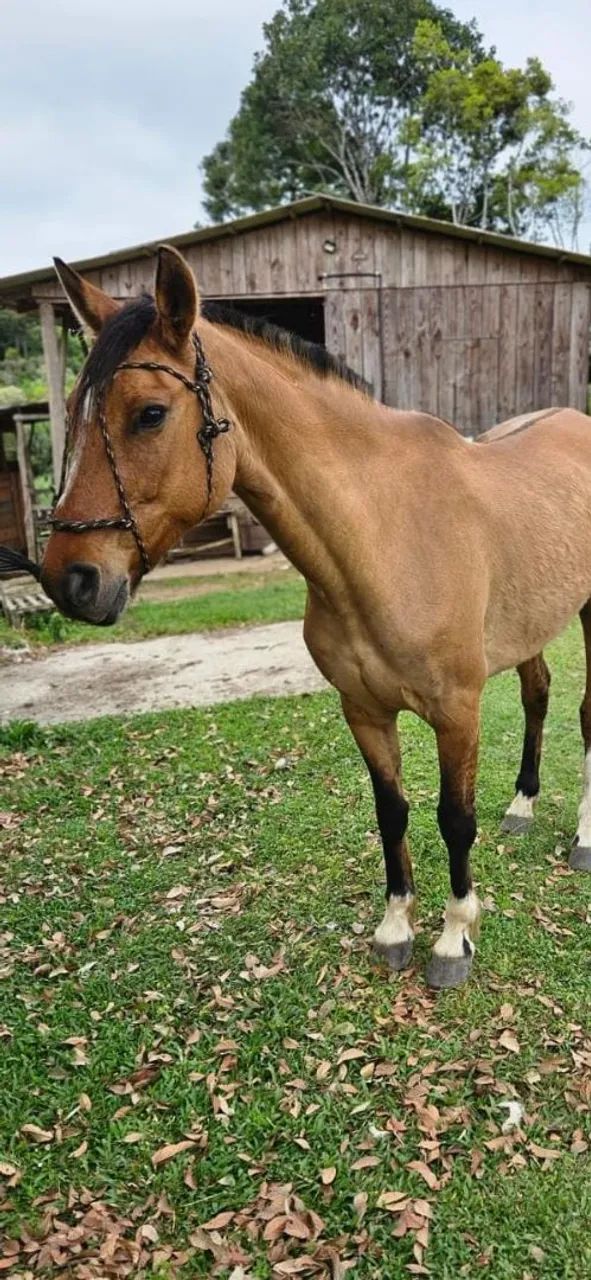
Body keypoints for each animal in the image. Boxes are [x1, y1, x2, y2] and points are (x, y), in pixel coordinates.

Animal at [35, 245, 591, 988]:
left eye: (149, 414)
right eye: (71, 410)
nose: (70, 579)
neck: (384, 535)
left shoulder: (457, 711)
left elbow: (453, 819)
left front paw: (453, 940)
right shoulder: (363, 709)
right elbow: (392, 811)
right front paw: (395, 928)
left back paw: (583, 835)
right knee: (538, 696)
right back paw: (523, 806)